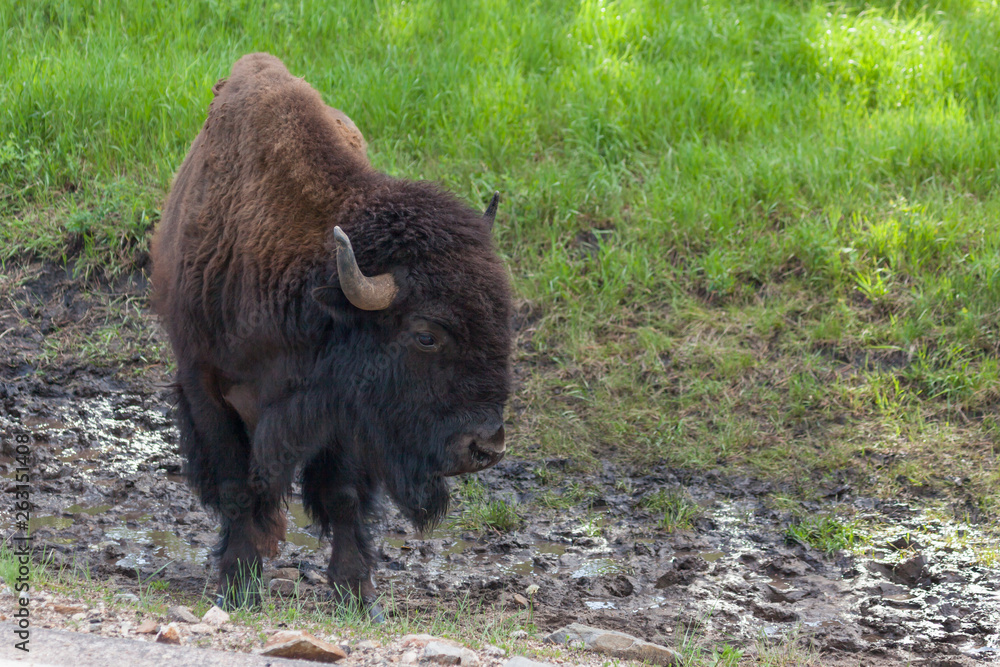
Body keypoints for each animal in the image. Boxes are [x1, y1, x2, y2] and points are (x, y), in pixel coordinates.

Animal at [150, 53, 513, 617]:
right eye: (426, 335)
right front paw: (238, 585)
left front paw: (357, 593)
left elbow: (344, 497)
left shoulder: (345, 410)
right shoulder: (204, 387)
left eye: (504, 318)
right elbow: (235, 486)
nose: (487, 446)